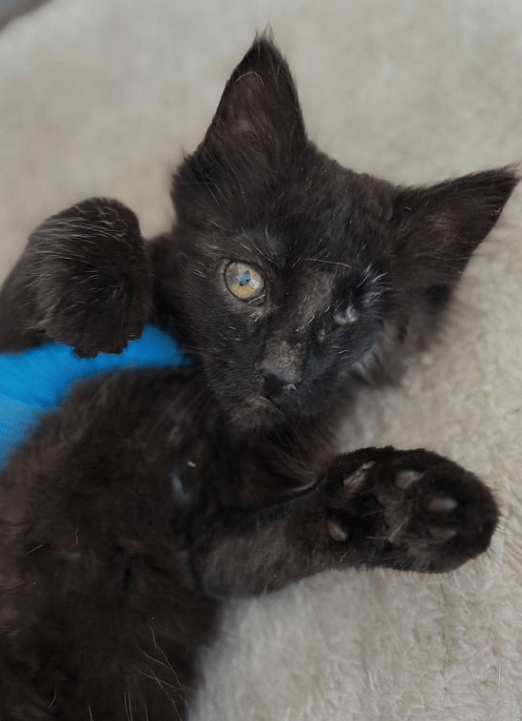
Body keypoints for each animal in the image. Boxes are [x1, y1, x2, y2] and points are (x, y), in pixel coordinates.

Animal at [0, 35, 512, 720]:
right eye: (245, 280)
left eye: (350, 315)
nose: (279, 375)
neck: (197, 406)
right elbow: (98, 216)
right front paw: (97, 291)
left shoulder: (211, 543)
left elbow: (286, 535)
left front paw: (404, 501)